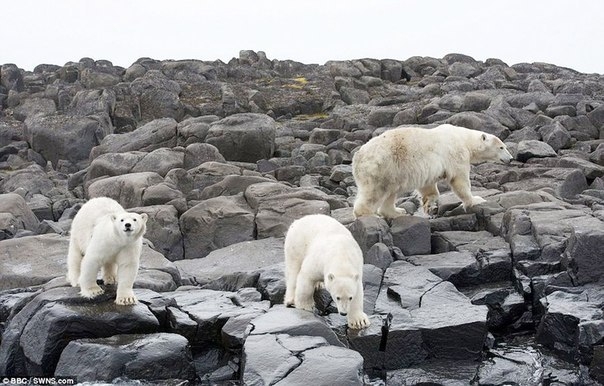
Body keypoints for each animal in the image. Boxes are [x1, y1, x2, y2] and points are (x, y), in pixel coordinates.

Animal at [352, 124, 512, 219]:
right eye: (501, 147)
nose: (510, 159)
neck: (463, 138)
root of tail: (357, 158)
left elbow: (427, 186)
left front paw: (429, 204)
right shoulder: (456, 153)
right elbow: (459, 180)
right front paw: (476, 200)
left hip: (392, 172)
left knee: (390, 192)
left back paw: (397, 212)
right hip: (381, 166)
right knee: (375, 192)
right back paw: (369, 215)